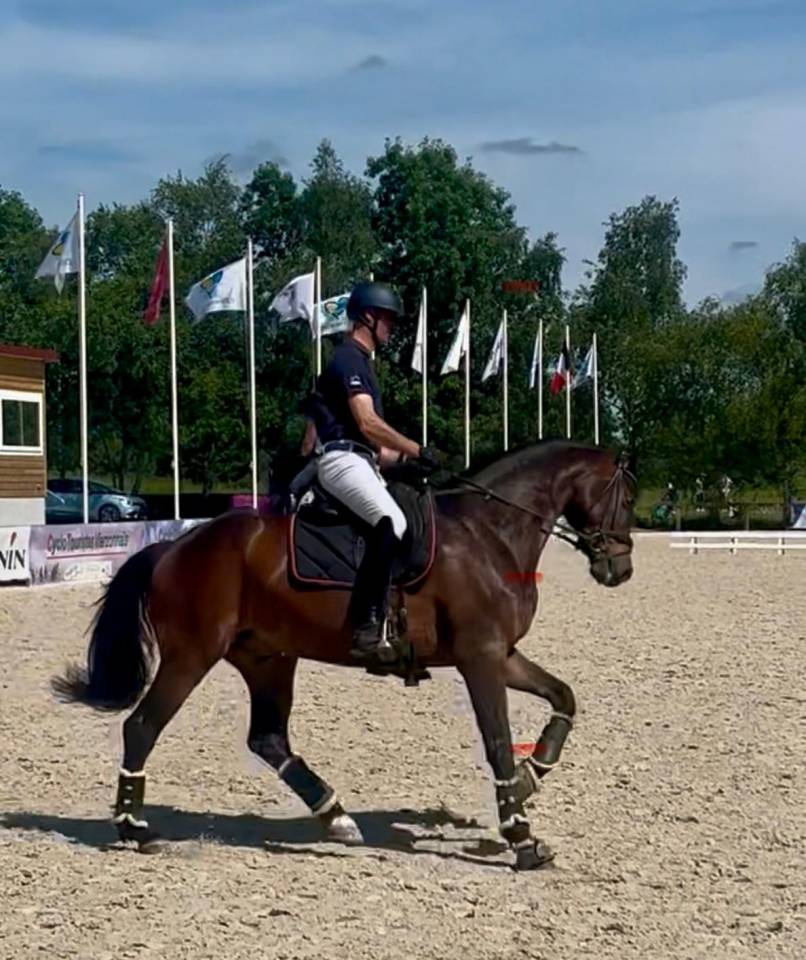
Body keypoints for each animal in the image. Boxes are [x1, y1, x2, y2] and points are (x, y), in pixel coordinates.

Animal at [53, 439, 636, 871]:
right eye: (628, 499)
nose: (620, 569)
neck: (489, 534)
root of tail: (172, 547)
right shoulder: (481, 658)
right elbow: (496, 743)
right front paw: (522, 837)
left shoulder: (503, 655)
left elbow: (564, 697)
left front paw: (533, 774)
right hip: (190, 657)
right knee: (142, 727)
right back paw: (134, 829)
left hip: (268, 659)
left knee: (268, 739)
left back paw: (335, 815)